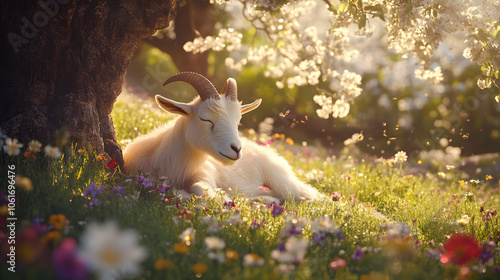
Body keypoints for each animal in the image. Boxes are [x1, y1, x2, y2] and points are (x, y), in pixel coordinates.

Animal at [123, 72, 322, 203]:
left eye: (238, 121)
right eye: (205, 118)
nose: (236, 149)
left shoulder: (206, 174)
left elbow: (199, 189)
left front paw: (220, 198)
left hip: (282, 180)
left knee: (310, 196)